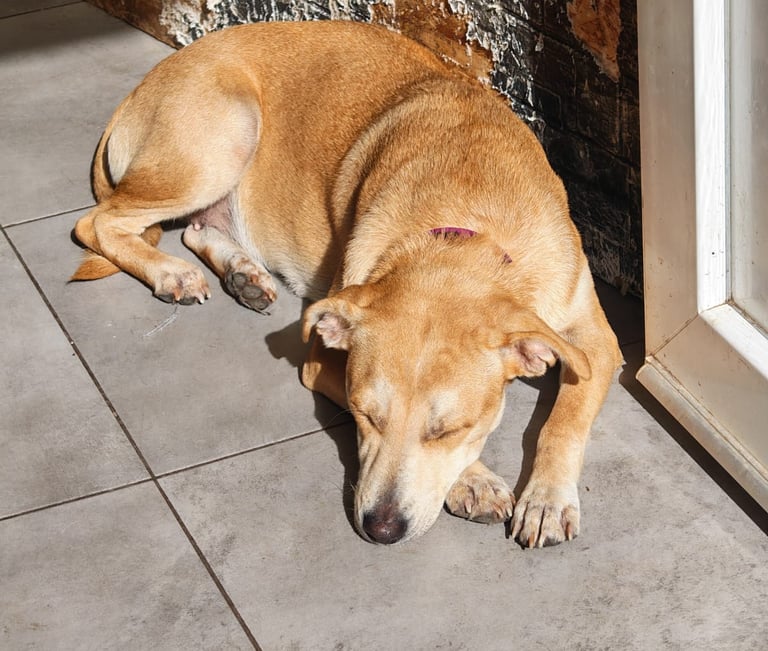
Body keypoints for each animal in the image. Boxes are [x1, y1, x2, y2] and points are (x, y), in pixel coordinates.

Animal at [71, 20, 622, 547]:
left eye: (448, 429)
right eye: (364, 414)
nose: (380, 529)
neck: (466, 223)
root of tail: (144, 84)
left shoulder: (595, 340)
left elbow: (563, 421)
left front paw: (546, 500)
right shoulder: (320, 364)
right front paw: (476, 480)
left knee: (192, 228)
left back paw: (242, 274)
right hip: (222, 139)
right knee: (96, 223)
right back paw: (172, 273)